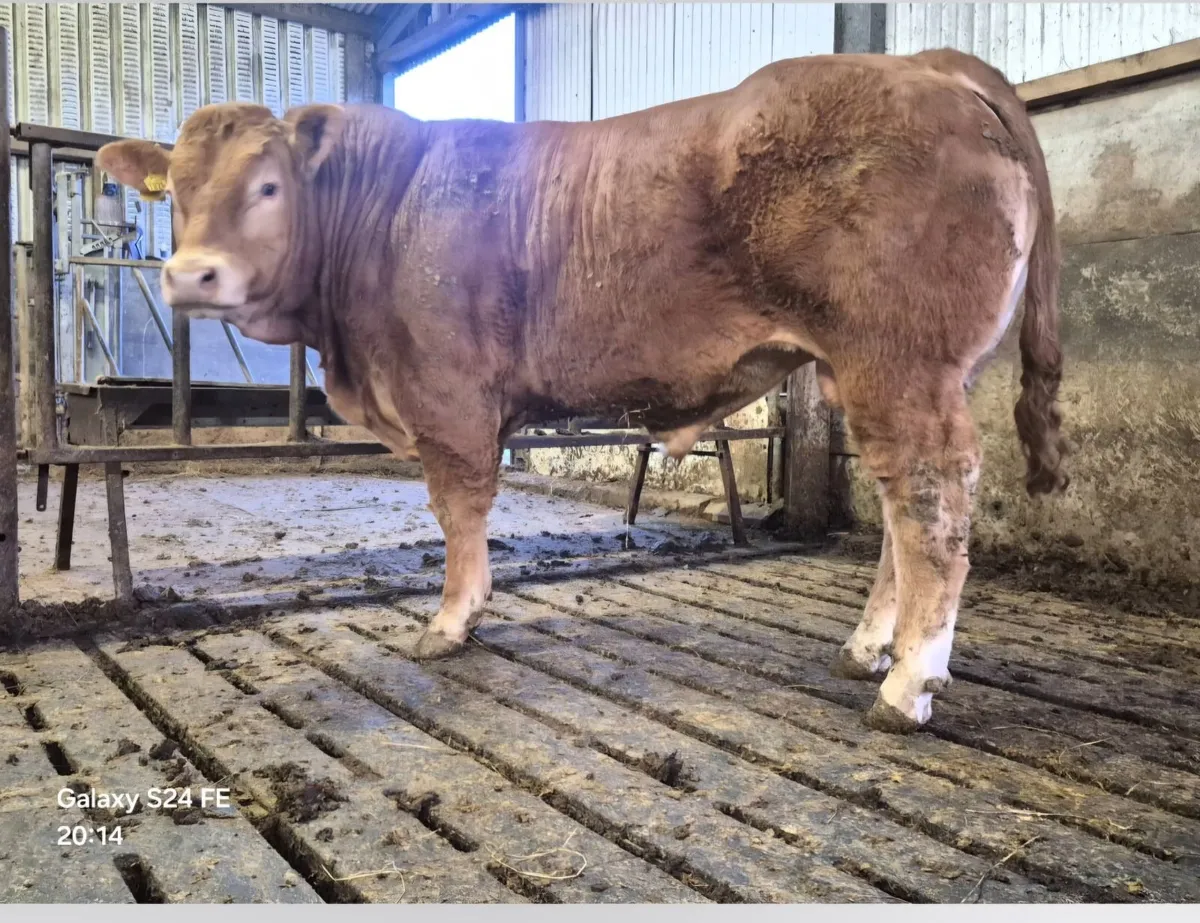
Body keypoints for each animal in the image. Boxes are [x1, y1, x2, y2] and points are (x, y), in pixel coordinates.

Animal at [96, 48, 1067, 733]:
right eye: (176, 194)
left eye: (267, 185)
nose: (191, 275)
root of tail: (922, 63)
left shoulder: (448, 395)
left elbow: (460, 508)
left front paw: (452, 620)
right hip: (889, 370)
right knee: (900, 506)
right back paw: (869, 649)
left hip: (899, 358)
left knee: (934, 501)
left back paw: (907, 684)